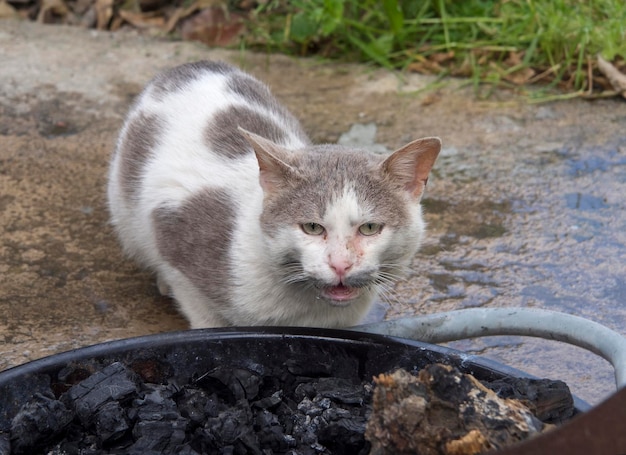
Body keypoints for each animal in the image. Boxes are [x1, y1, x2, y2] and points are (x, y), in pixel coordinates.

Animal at [107, 61, 438, 332]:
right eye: (312, 227)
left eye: (370, 228)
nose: (340, 265)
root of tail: (191, 65)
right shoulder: (173, 229)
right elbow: (202, 314)